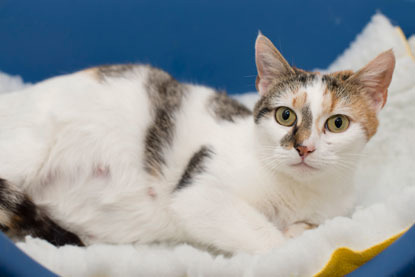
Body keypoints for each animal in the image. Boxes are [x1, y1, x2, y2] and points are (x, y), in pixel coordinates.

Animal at [0, 34, 396, 252]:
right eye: (285, 116)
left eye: (337, 123)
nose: (304, 148)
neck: (301, 192)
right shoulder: (198, 189)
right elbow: (269, 239)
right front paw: (287, 240)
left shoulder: (335, 213)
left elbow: (316, 229)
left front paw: (300, 230)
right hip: (30, 147)